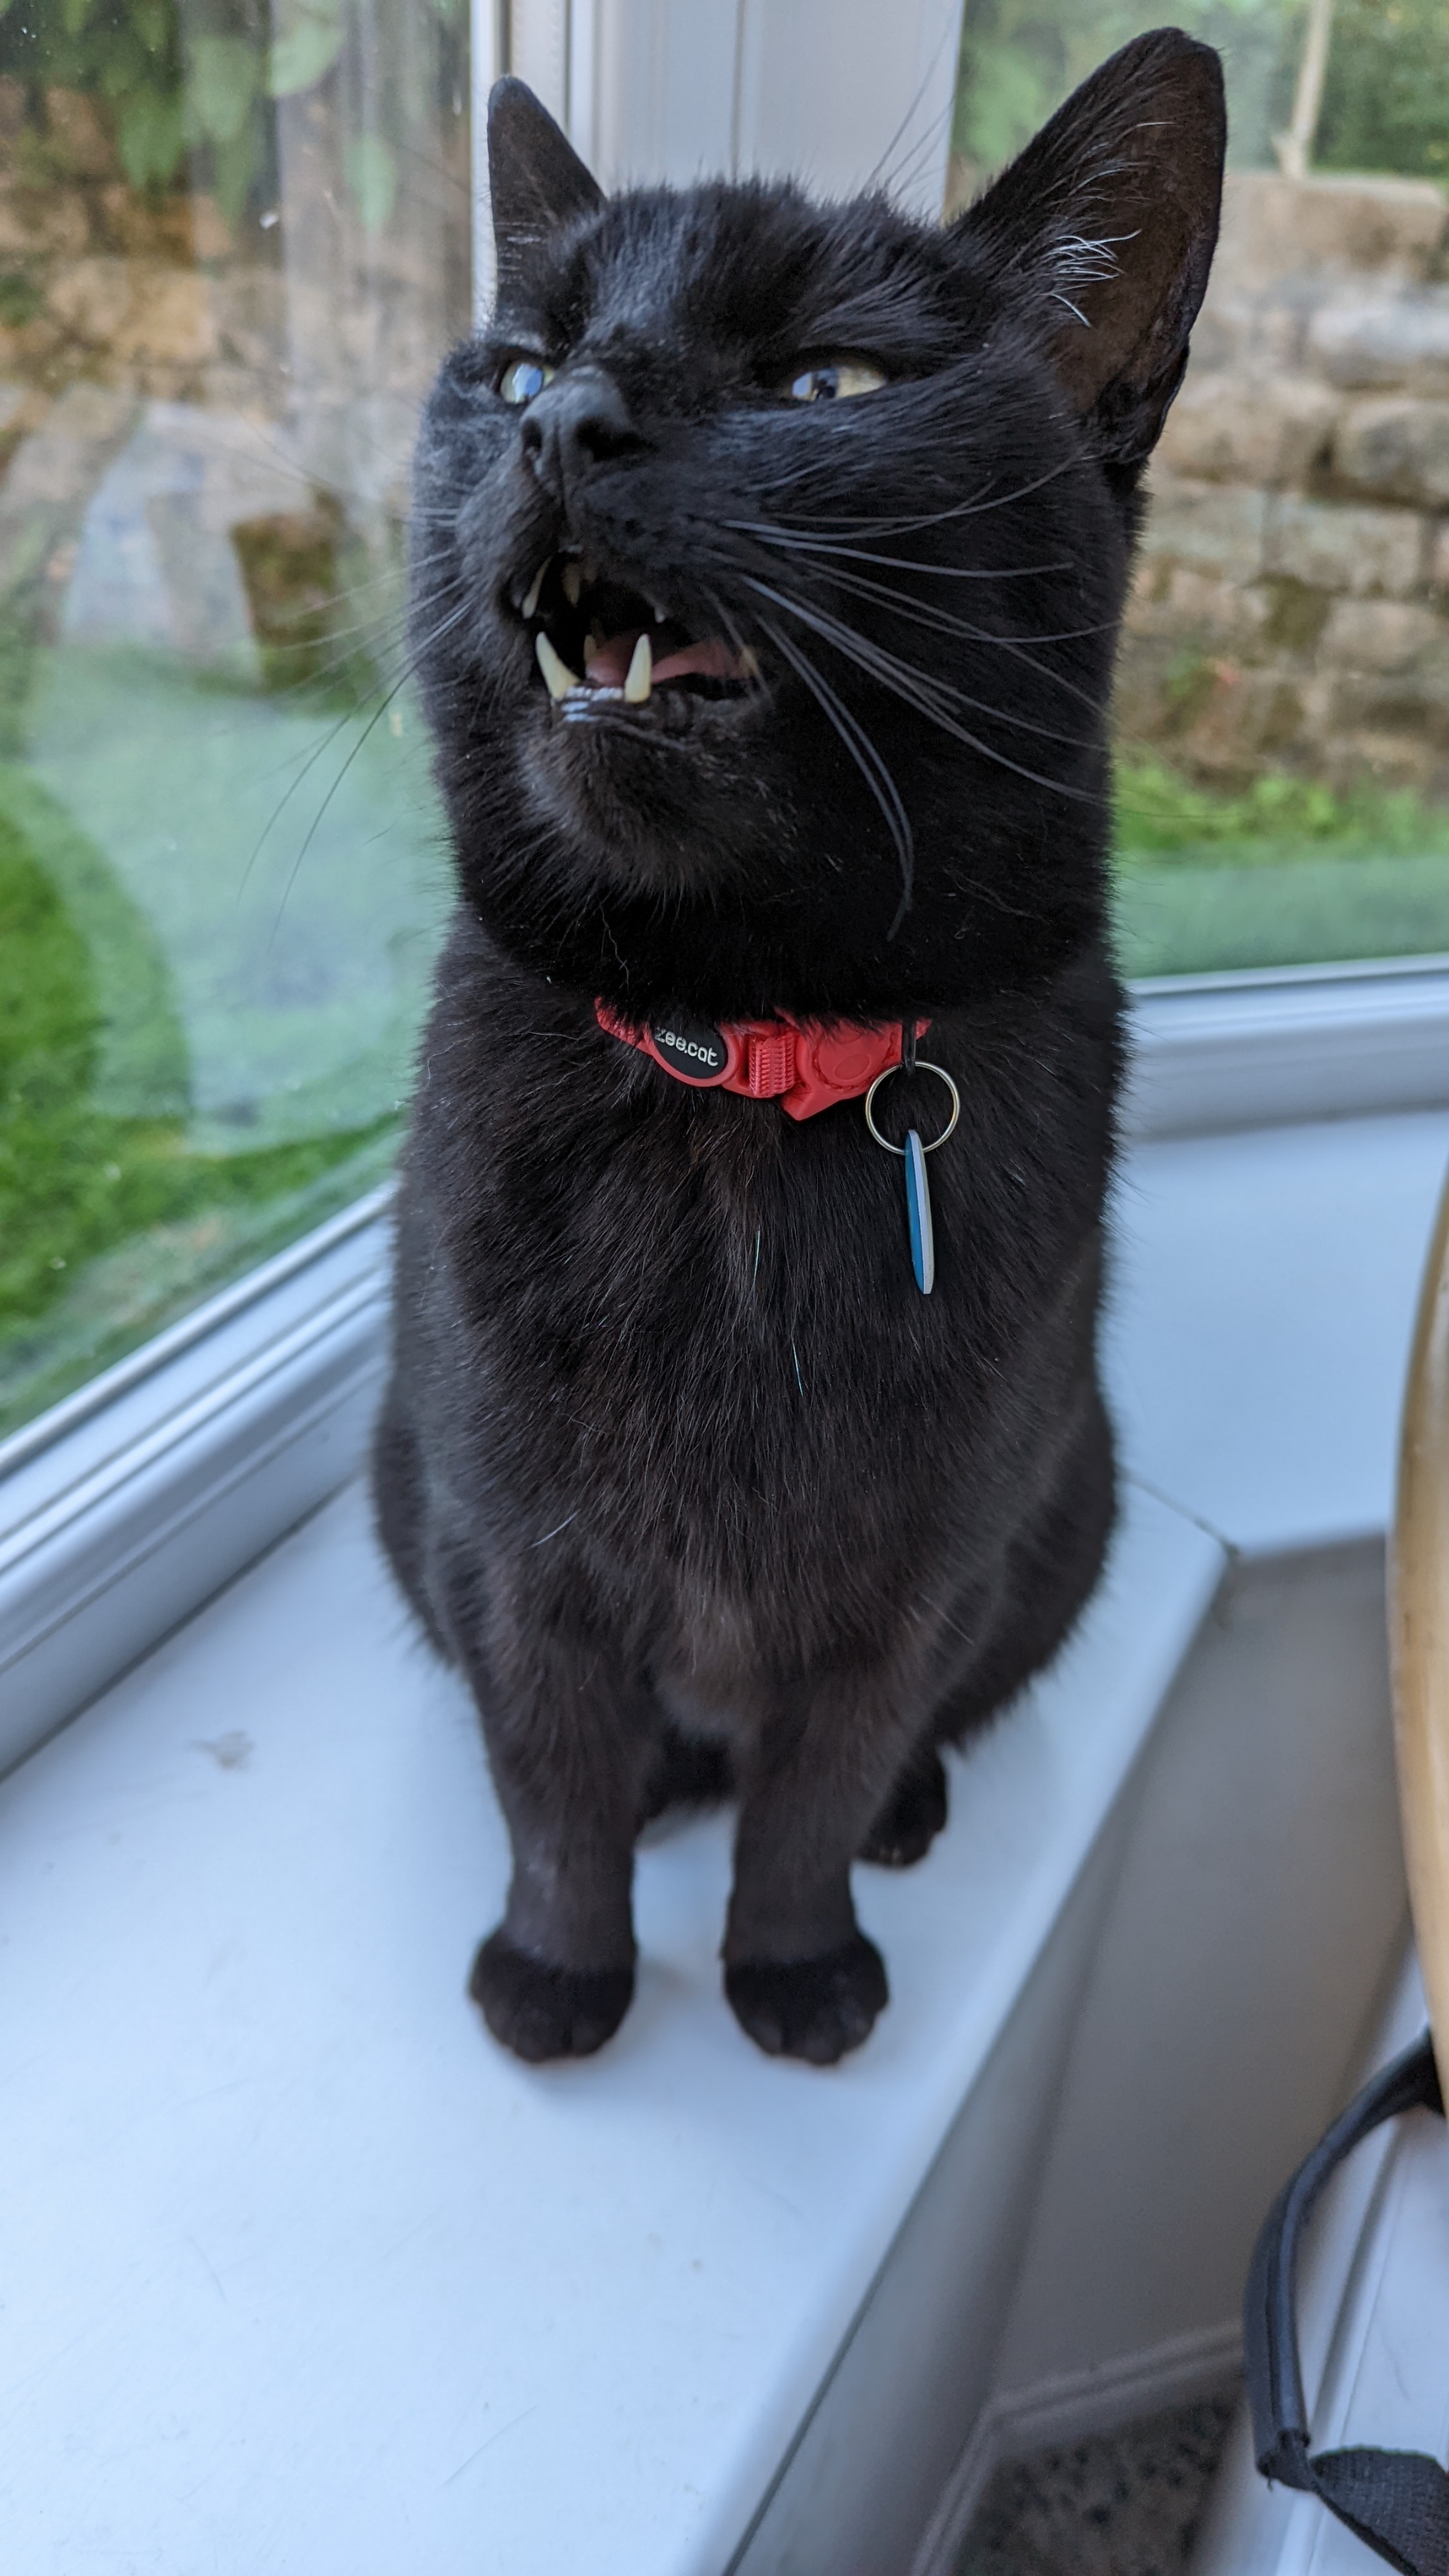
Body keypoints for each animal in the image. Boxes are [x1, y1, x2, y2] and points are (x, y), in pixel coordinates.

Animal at [371, 35, 1216, 2071]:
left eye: (828, 382)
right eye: (519, 367)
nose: (567, 425)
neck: (738, 1077)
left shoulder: (914, 1580)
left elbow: (818, 1789)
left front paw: (794, 1971)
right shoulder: (507, 1553)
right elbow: (554, 1788)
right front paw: (560, 1978)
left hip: (1067, 1510)